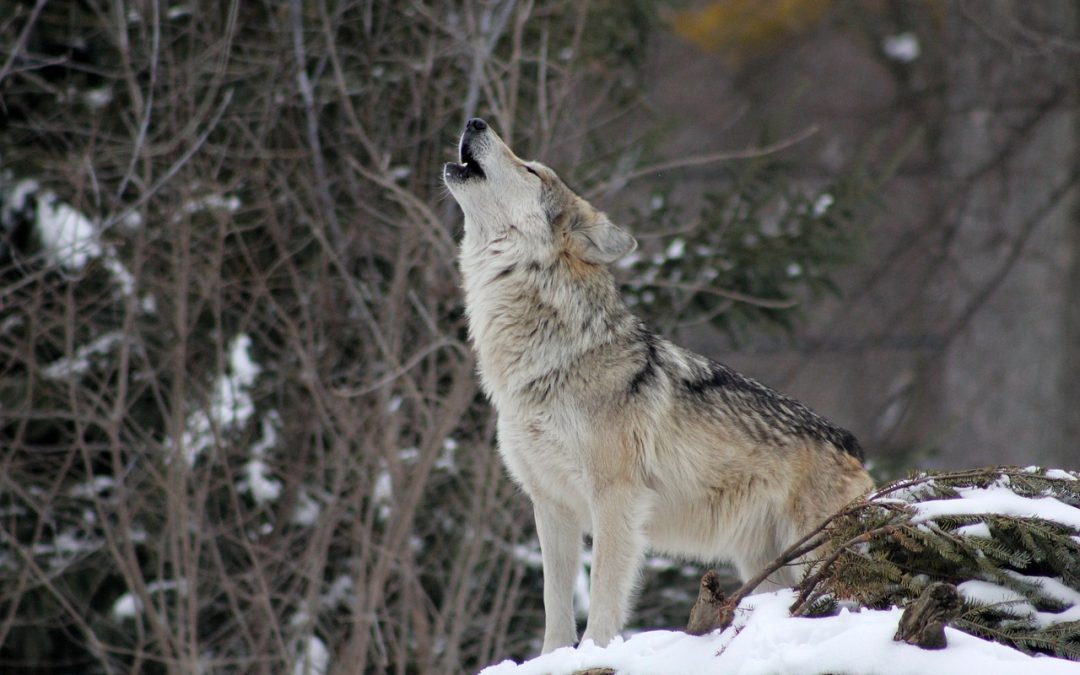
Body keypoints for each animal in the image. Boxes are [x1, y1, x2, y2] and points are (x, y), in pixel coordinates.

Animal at [442, 118, 872, 652]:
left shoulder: (616, 498)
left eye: (531, 169)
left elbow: (604, 596)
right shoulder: (551, 505)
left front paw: (594, 652)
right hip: (766, 566)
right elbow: (554, 606)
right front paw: (554, 657)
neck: (550, 360)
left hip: (813, 554)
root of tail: (852, 444)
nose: (474, 121)